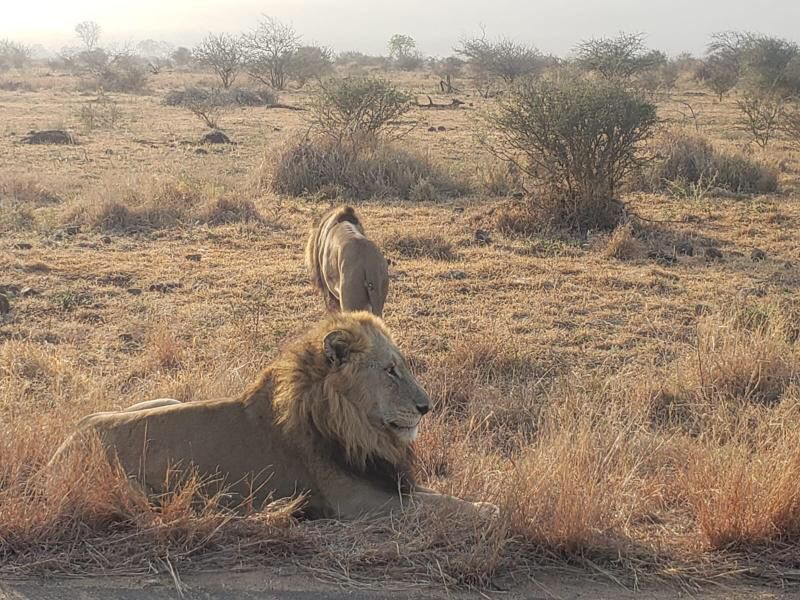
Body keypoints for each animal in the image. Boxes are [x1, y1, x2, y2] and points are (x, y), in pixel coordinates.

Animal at [50, 314, 494, 520]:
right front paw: (487, 509)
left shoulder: (386, 484)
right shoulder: (358, 502)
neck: (353, 425)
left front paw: (481, 504)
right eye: (390, 370)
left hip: (162, 398)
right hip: (137, 489)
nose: (426, 406)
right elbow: (439, 506)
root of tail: (66, 443)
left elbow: (436, 497)